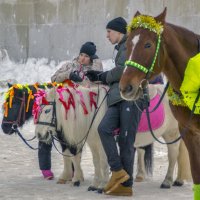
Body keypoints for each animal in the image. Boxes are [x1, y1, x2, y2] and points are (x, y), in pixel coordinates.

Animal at [35, 82, 191, 191]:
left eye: (47, 110)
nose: (38, 134)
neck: (94, 113)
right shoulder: (93, 143)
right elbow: (96, 162)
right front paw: (94, 184)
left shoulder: (103, 141)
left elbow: (104, 162)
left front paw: (102, 185)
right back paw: (178, 180)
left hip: (171, 134)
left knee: (173, 156)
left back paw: (167, 181)